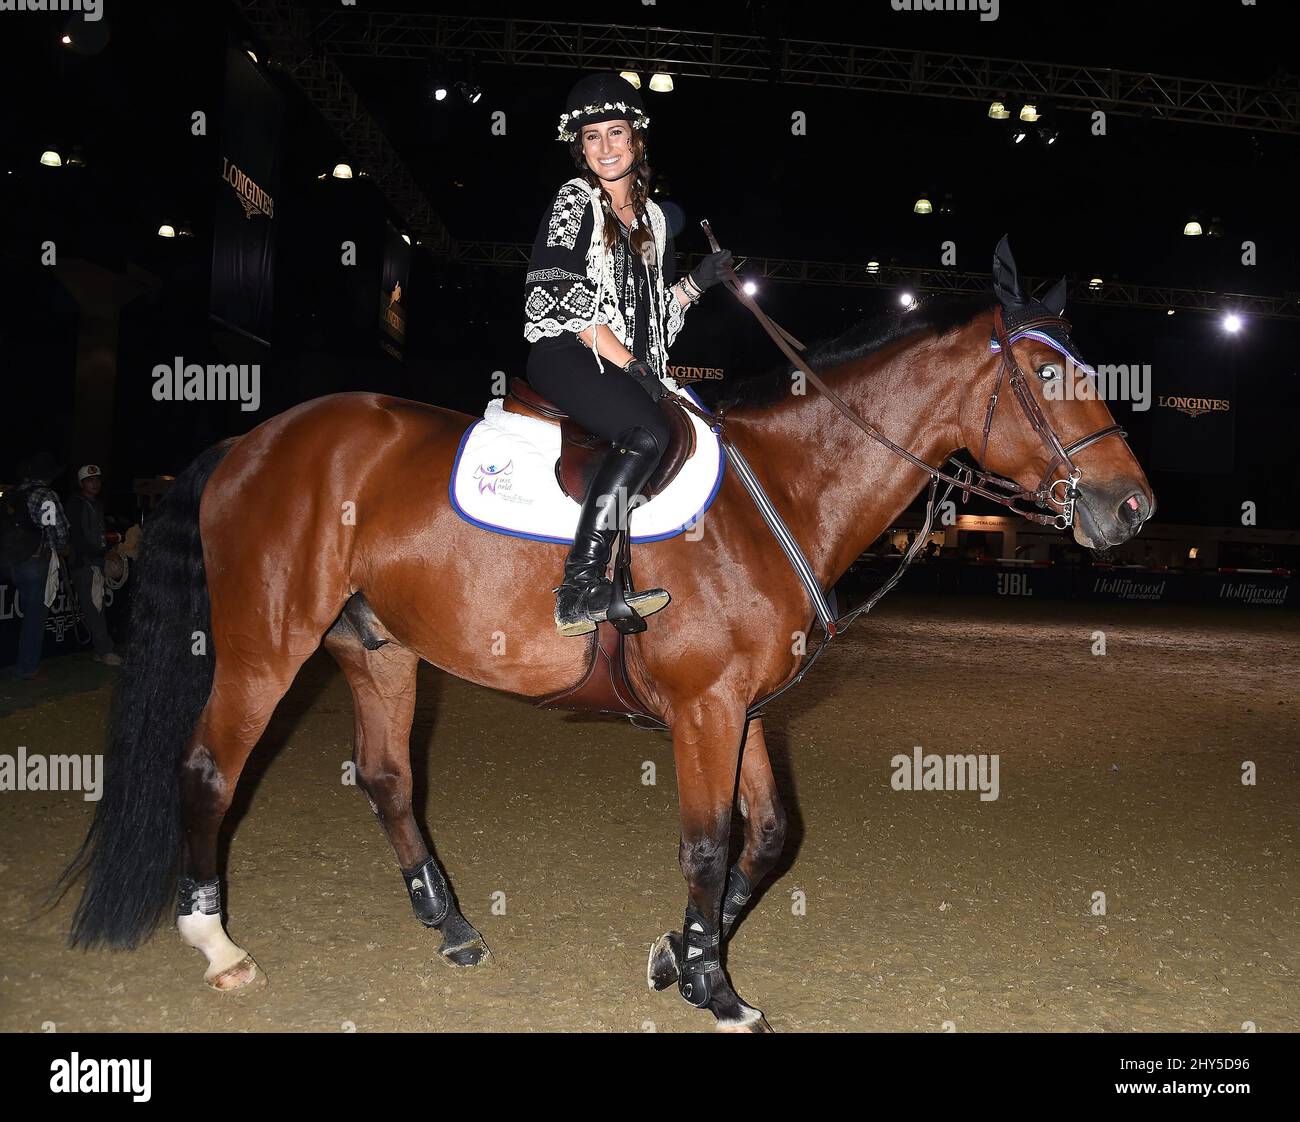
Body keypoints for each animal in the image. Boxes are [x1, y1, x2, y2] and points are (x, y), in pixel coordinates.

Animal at [61, 248, 1159, 1034]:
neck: (777, 491)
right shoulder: (706, 710)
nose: (1133, 508)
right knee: (210, 768)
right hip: (264, 646)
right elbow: (708, 845)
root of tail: (251, 442)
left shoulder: (740, 709)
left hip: (377, 649)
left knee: (386, 777)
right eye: (1049, 374)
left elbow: (767, 837)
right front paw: (719, 991)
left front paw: (680, 957)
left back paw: (451, 926)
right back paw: (217, 944)